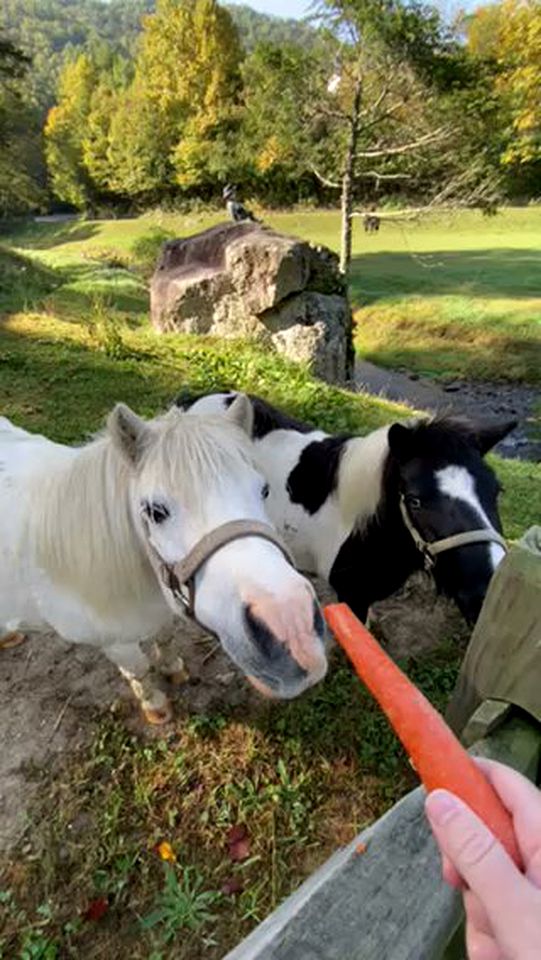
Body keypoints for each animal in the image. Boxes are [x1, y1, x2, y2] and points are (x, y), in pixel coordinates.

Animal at [0, 396, 324, 720]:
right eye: (156, 511)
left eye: (264, 490)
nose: (293, 629)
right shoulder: (116, 644)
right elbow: (140, 670)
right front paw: (155, 705)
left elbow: (165, 639)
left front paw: (172, 669)